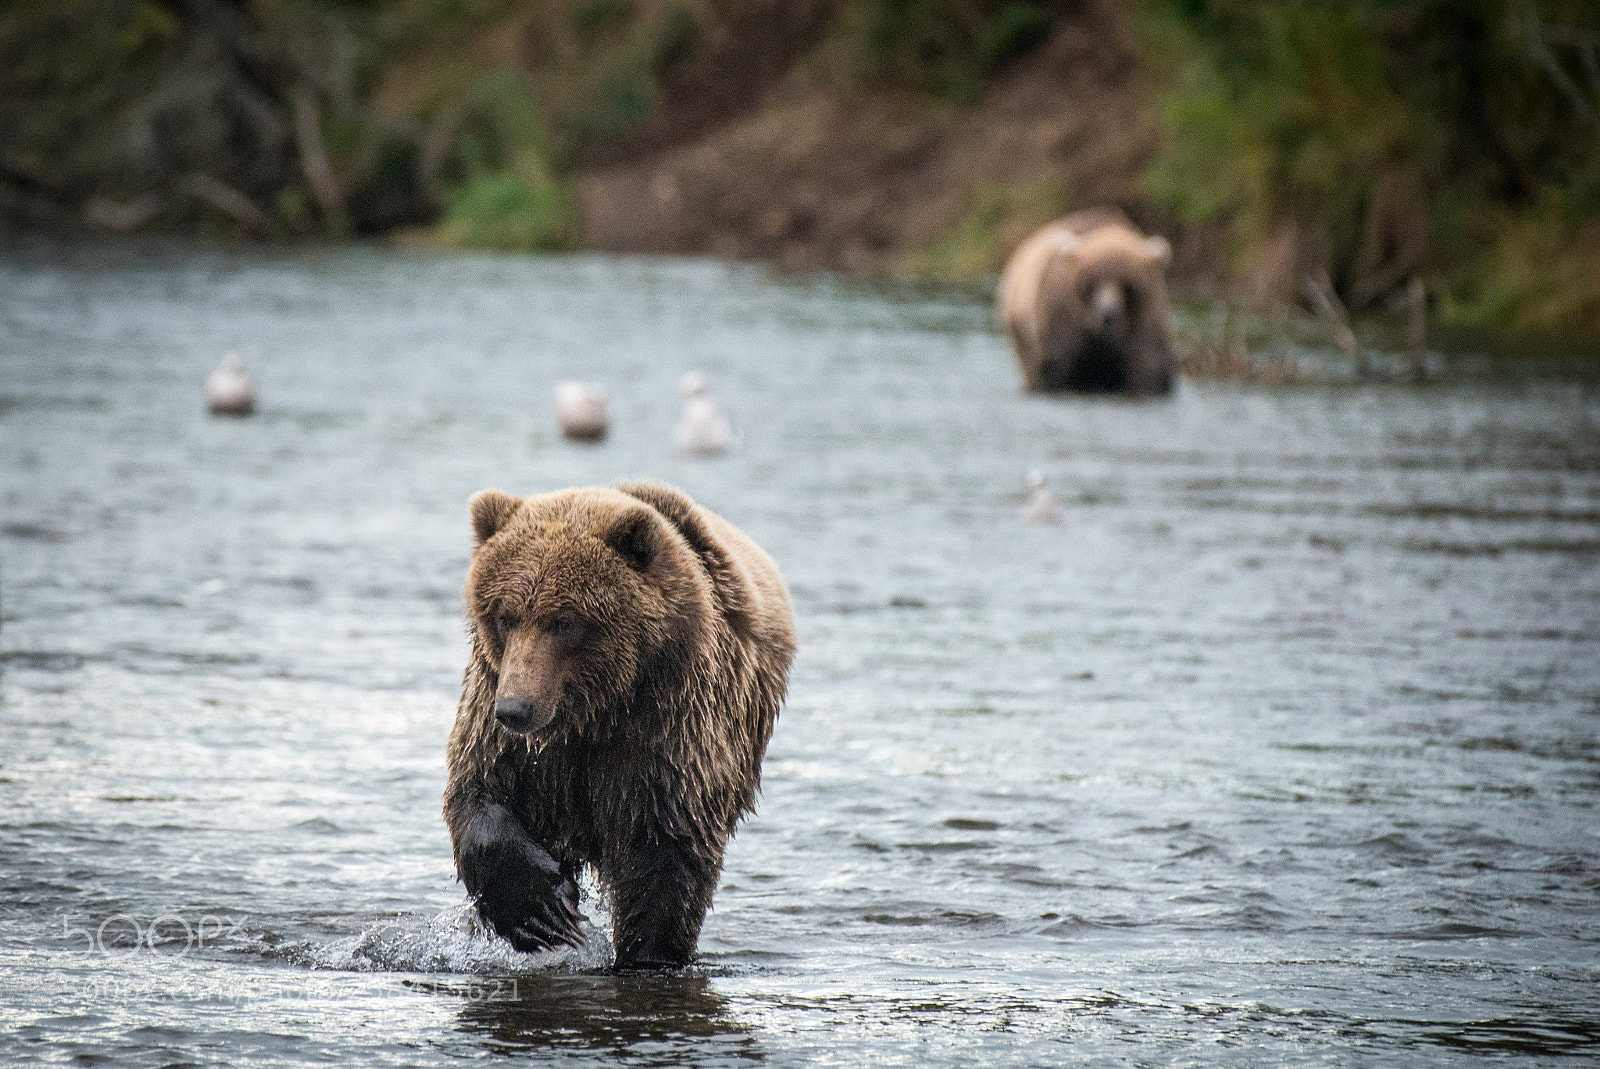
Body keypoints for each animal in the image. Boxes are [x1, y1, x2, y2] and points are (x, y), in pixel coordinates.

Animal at [443, 482, 795, 970]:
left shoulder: (668, 726)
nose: (515, 709)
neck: (594, 711)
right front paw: (537, 907)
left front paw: (645, 953)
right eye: (504, 615)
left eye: (564, 621)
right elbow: (479, 788)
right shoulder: (505, 719)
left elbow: (664, 857)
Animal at [996, 209, 1176, 396]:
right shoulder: (1062, 315)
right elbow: (1057, 365)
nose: (1108, 314)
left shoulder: (1144, 318)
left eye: (1128, 285)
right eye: (1091, 283)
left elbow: (1149, 365)